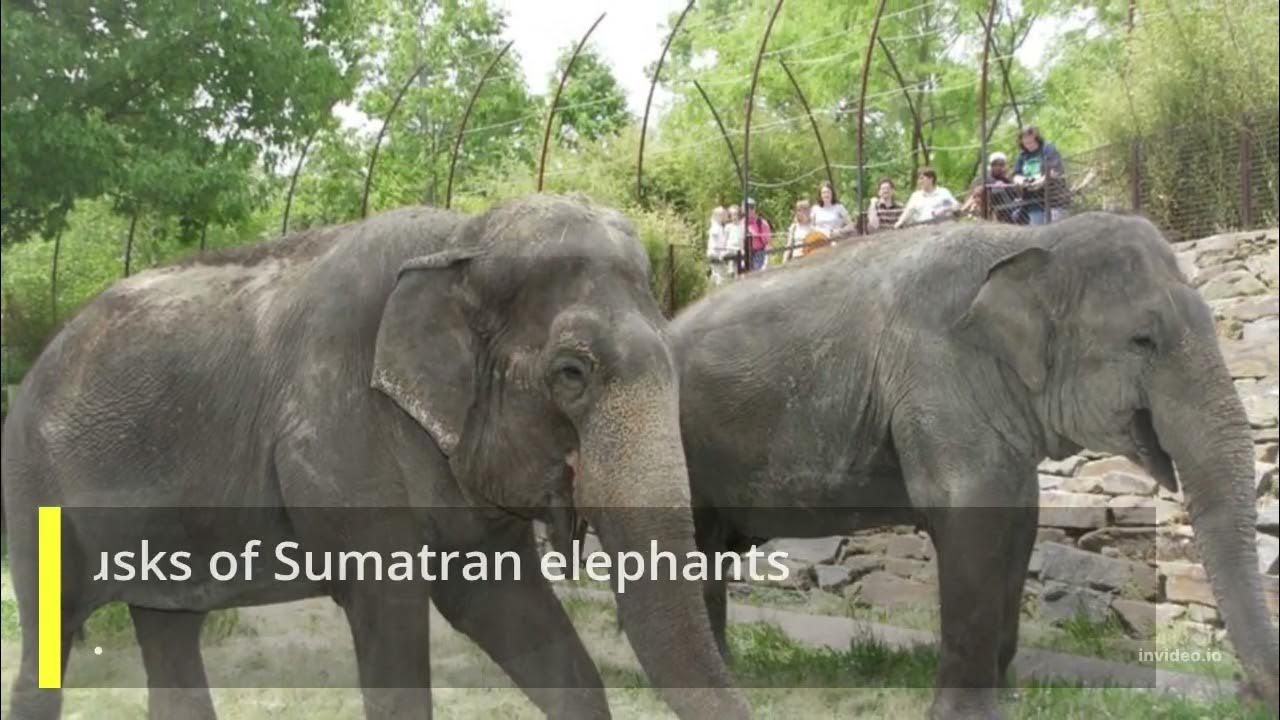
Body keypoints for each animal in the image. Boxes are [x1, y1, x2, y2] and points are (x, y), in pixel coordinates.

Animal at [1, 195, 749, 720]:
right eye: (571, 373)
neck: (458, 242)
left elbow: (509, 612)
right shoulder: (336, 436)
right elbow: (391, 615)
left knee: (169, 630)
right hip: (34, 487)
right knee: (51, 630)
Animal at [670, 212, 1279, 718]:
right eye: (1142, 340)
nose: (1247, 692)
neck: (1029, 241)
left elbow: (1019, 521)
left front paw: (1006, 700)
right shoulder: (937, 371)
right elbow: (971, 518)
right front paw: (963, 716)